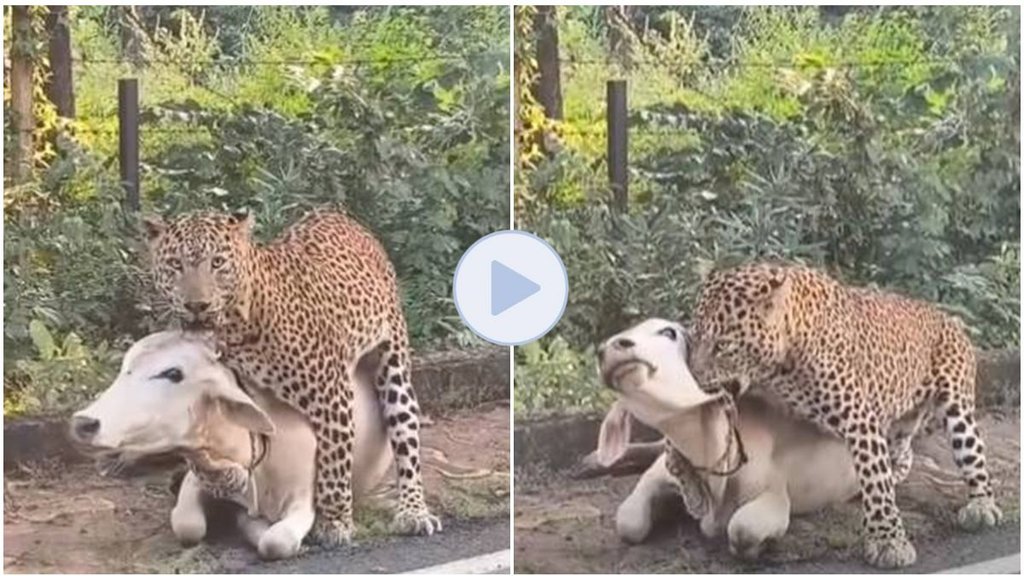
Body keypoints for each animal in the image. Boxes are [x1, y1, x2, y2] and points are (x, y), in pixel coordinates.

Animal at [144, 209, 441, 546]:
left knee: (406, 441)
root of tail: (340, 214)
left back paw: (413, 511)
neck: (233, 332)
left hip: (394, 367)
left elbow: (333, 465)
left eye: (217, 262)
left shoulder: (331, 395)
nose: (197, 305)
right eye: (175, 265)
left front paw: (334, 525)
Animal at [687, 261, 1002, 568]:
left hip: (956, 405)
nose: (693, 377)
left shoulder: (858, 418)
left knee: (973, 455)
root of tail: (947, 317)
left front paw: (888, 542)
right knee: (903, 450)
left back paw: (982, 506)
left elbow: (875, 476)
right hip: (901, 421)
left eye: (722, 345)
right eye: (694, 337)